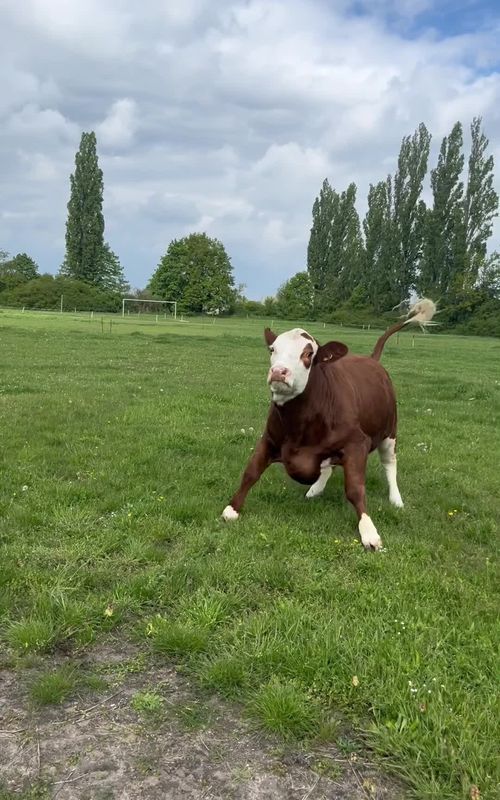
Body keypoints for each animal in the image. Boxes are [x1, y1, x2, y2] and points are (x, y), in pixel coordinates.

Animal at [222, 299, 436, 551]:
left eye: (308, 353)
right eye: (272, 349)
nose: (278, 372)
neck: (299, 424)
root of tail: (371, 359)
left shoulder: (357, 443)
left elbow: (355, 489)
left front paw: (368, 531)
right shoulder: (270, 438)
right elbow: (251, 472)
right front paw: (232, 508)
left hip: (390, 431)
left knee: (389, 463)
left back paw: (396, 499)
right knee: (329, 464)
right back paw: (316, 489)